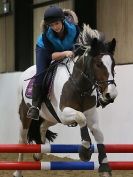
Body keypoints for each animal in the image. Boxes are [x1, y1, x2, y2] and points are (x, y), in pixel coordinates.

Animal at [13, 25, 117, 177]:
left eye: (113, 65)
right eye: (98, 64)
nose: (111, 95)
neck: (79, 86)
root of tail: (25, 72)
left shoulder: (89, 115)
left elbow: (98, 133)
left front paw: (104, 167)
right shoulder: (65, 113)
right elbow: (81, 117)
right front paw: (85, 151)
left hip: (52, 117)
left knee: (42, 126)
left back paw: (39, 153)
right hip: (25, 115)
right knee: (22, 140)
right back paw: (18, 171)